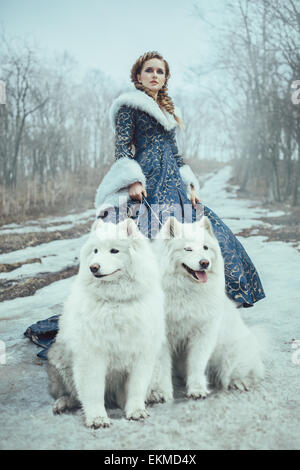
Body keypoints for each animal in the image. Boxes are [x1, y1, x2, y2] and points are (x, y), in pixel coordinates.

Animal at [48, 218, 168, 428]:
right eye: (95, 251)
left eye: (114, 251)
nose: (93, 267)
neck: (116, 302)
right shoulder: (92, 356)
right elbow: (93, 391)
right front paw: (97, 418)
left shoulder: (142, 354)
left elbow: (137, 387)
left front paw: (135, 411)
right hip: (58, 359)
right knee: (72, 394)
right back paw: (63, 403)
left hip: (156, 360)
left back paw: (153, 395)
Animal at [154, 215, 266, 398]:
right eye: (188, 249)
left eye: (205, 247)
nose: (204, 263)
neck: (186, 290)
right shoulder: (163, 337)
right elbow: (162, 368)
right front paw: (161, 392)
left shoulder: (203, 333)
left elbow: (197, 364)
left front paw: (197, 389)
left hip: (230, 353)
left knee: (244, 371)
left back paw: (239, 381)